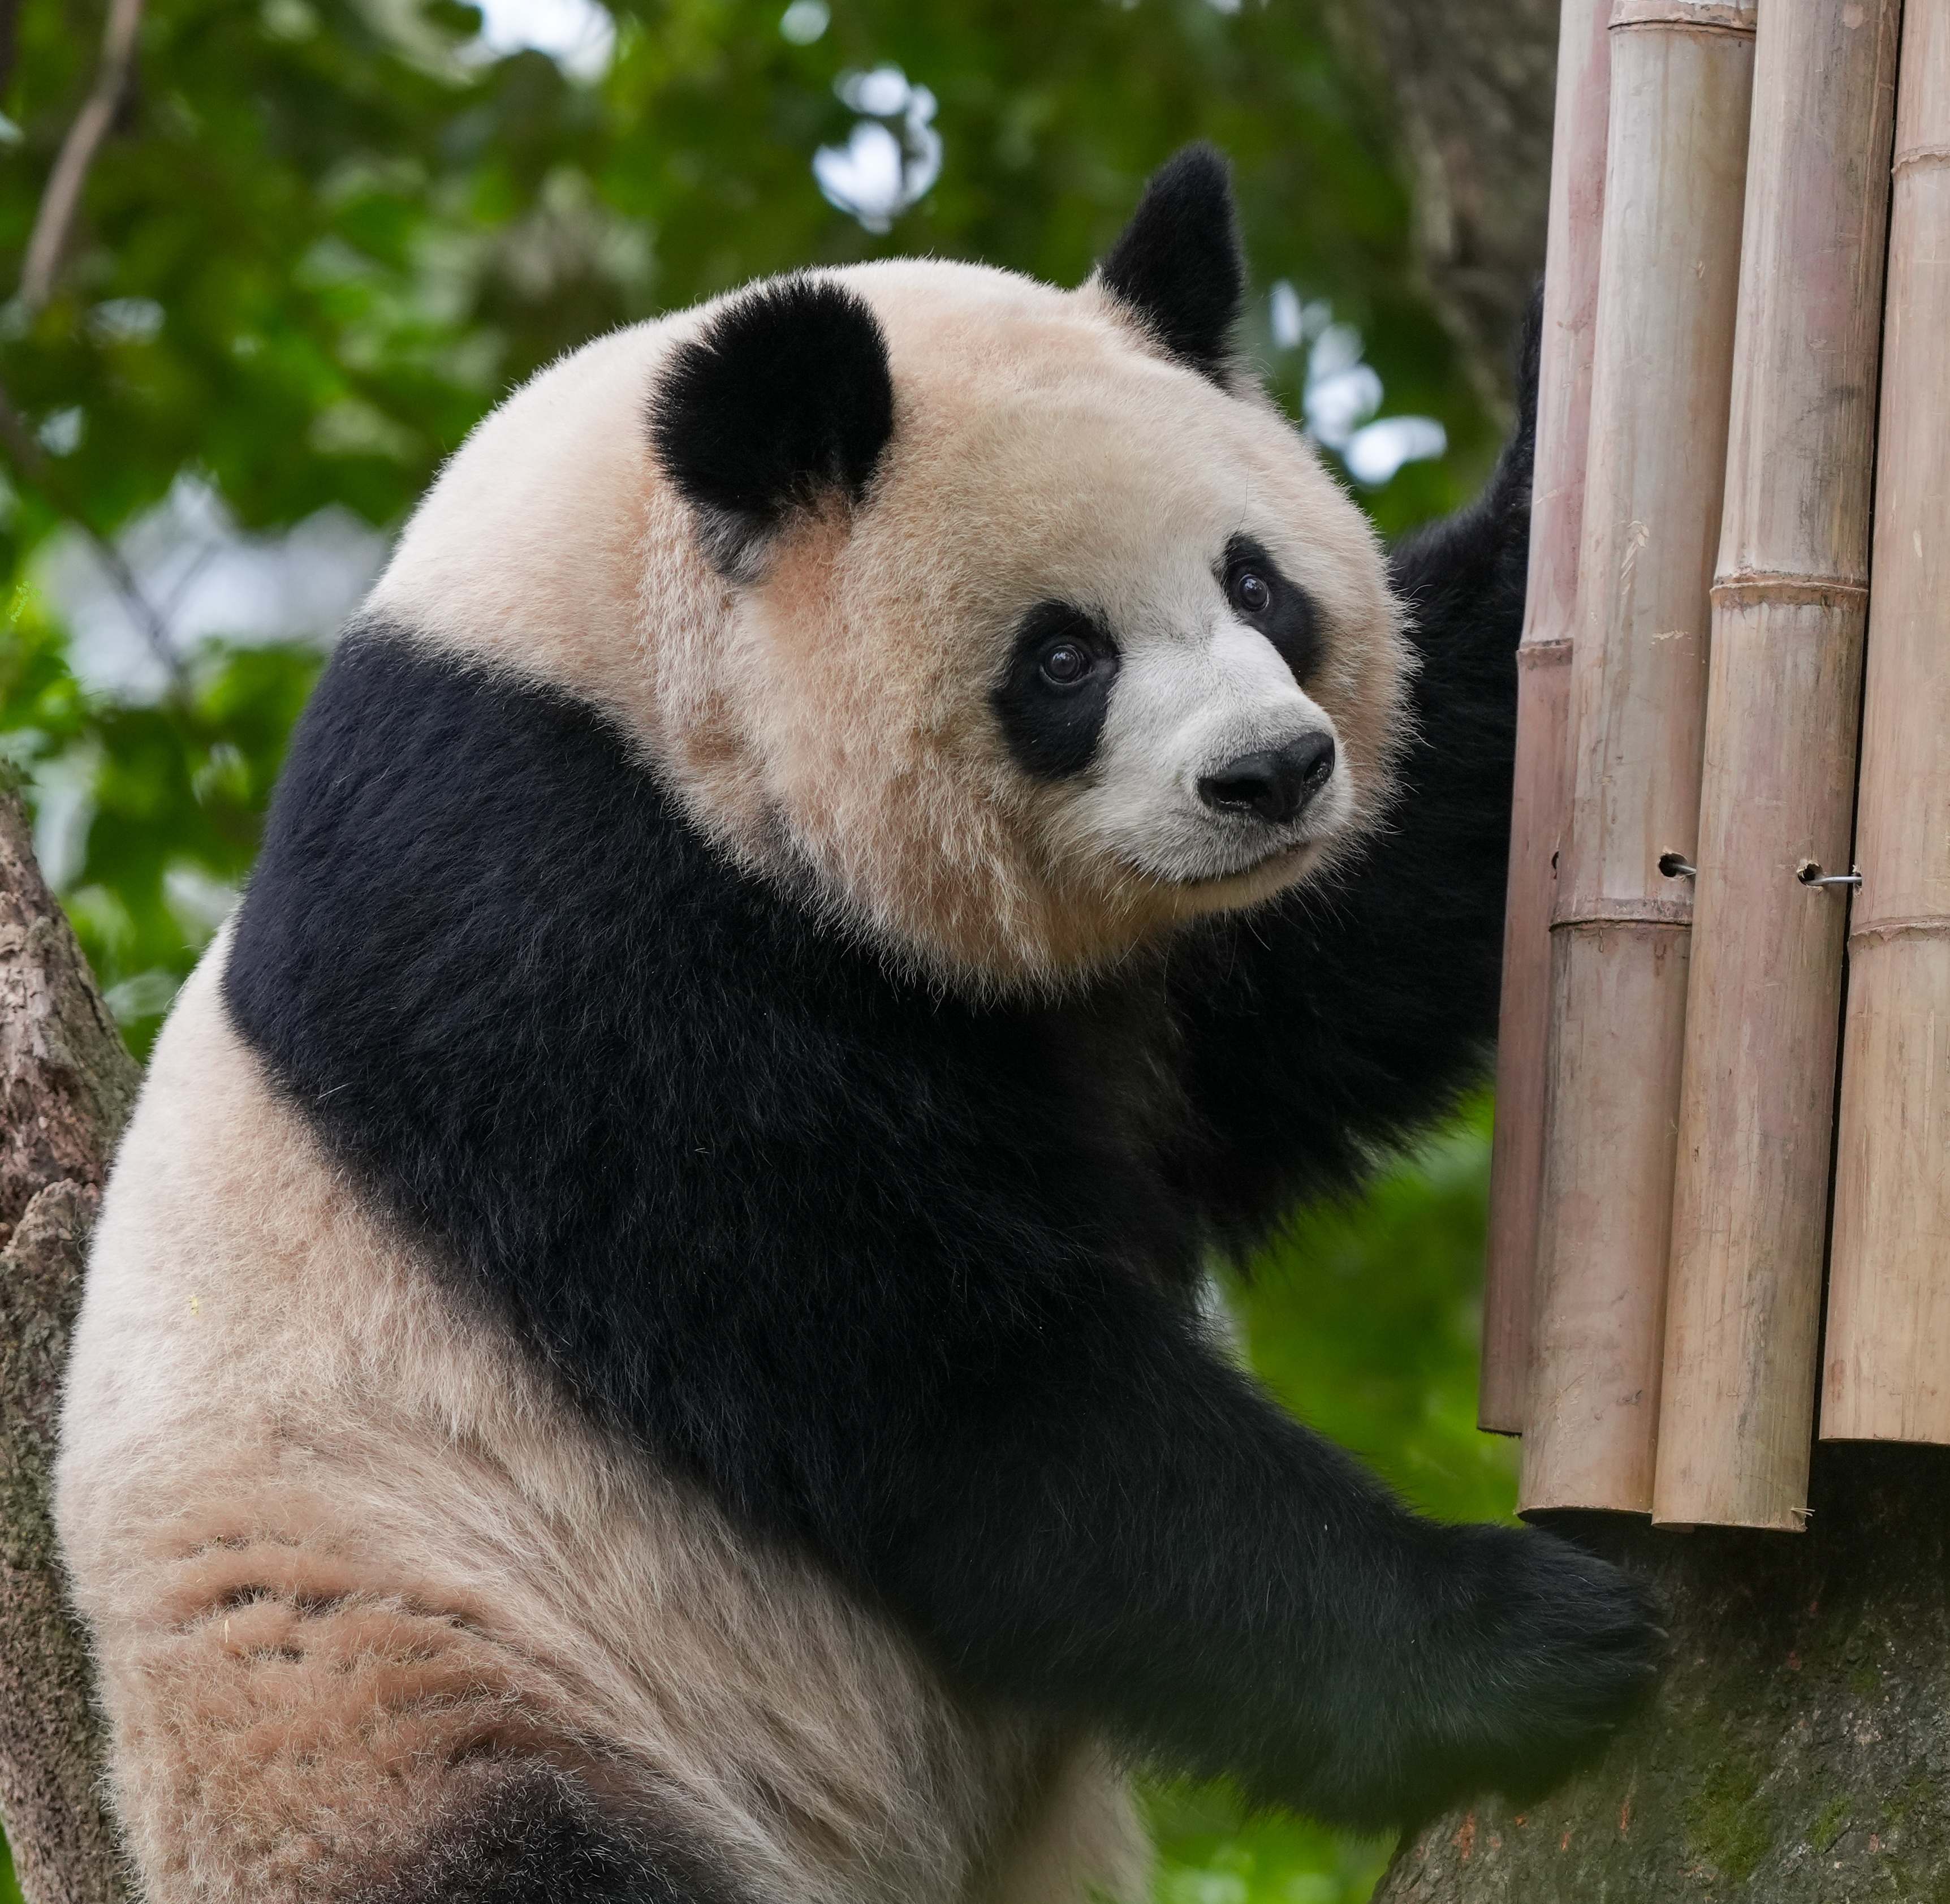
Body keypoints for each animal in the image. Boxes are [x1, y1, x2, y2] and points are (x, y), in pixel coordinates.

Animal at [53, 148, 1661, 1904]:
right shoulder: (525, 907)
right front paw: (1508, 1641)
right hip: (408, 1686)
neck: (624, 654)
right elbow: (935, 1380)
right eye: (1063, 654)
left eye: (1257, 583)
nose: (1274, 773)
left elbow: (1343, 956)